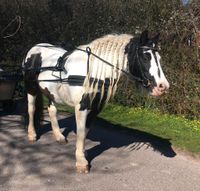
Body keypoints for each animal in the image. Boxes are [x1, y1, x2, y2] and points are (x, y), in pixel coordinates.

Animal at [22, 29, 170, 173]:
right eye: (146, 57)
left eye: (160, 58)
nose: (163, 86)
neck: (92, 72)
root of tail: (35, 48)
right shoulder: (82, 106)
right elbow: (81, 132)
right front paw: (81, 162)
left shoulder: (95, 107)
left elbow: (85, 131)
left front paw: (82, 153)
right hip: (31, 88)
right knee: (31, 109)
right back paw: (32, 134)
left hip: (51, 93)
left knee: (52, 110)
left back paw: (59, 136)